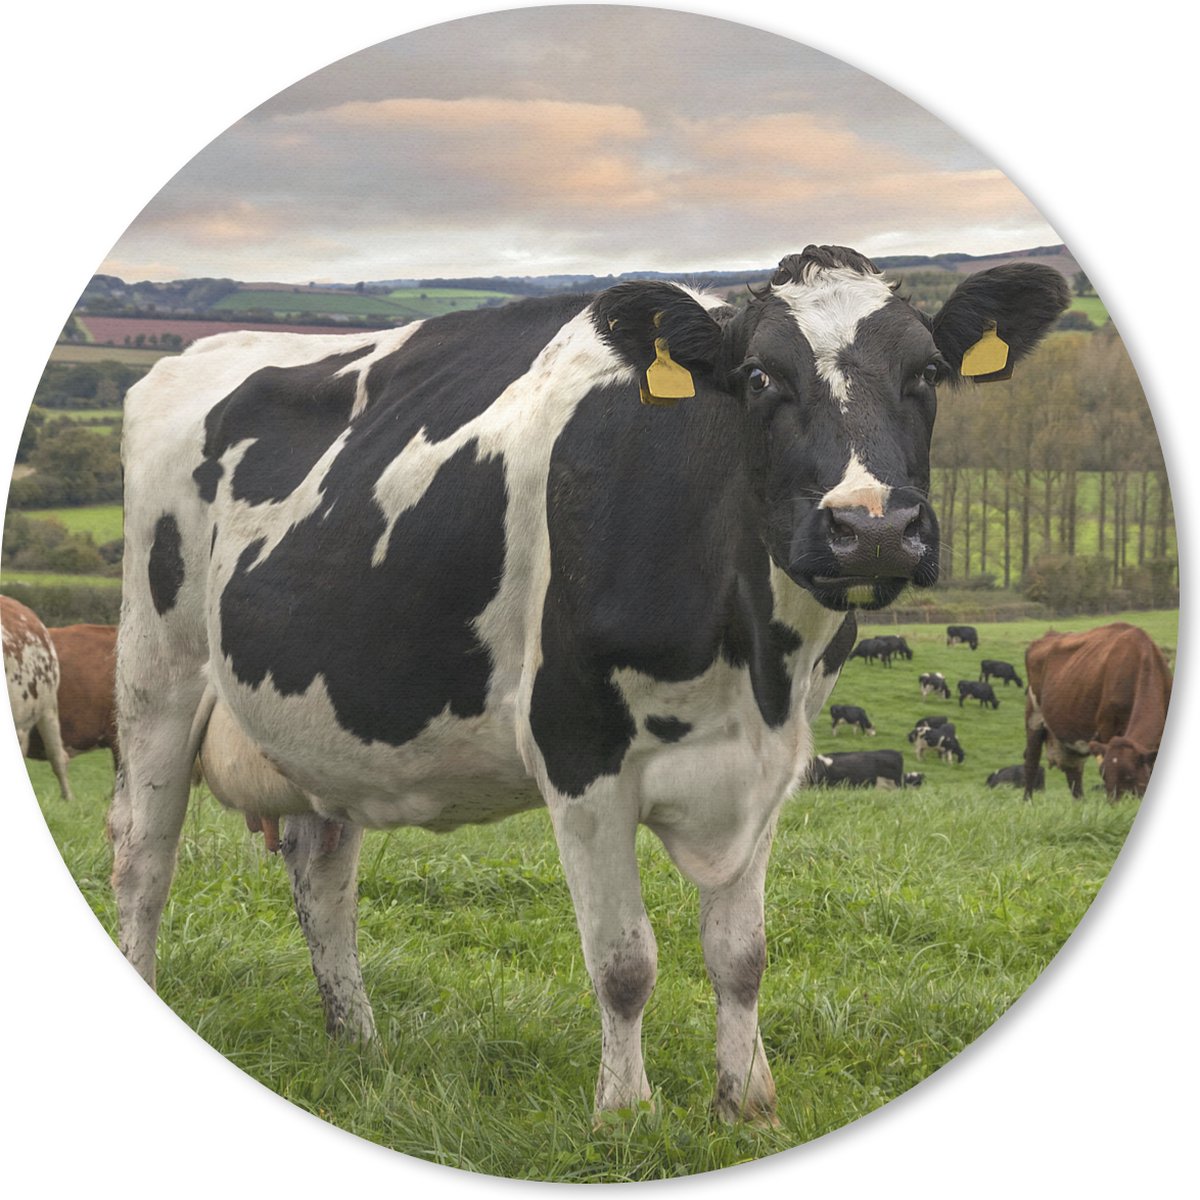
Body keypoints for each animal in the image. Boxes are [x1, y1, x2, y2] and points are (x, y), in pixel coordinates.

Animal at [108, 243, 1067, 1123]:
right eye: (761, 376)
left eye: (928, 372)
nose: (870, 528)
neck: (752, 656)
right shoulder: (579, 752)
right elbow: (625, 961)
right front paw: (625, 1113)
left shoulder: (773, 761)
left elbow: (742, 955)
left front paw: (747, 1104)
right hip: (155, 672)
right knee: (143, 858)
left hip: (321, 728)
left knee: (323, 871)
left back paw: (360, 1044)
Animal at [1023, 623, 1171, 801]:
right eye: (1104, 775)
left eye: (1130, 776)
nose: (1115, 804)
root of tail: (1048, 635)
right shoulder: (1108, 727)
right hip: (1034, 717)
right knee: (1031, 763)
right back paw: (1027, 802)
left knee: (1073, 771)